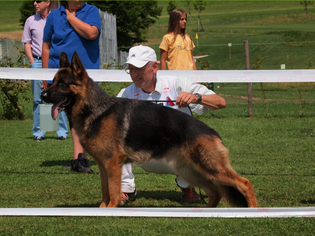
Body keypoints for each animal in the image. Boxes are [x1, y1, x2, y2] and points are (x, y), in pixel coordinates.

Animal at [40, 52, 258, 208]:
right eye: (53, 81)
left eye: (62, 84)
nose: (42, 95)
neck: (95, 108)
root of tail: (213, 132)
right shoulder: (103, 165)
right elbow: (105, 191)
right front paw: (102, 210)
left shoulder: (112, 163)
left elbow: (112, 191)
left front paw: (110, 210)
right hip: (192, 170)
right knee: (215, 192)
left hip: (209, 167)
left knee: (245, 183)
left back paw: (254, 211)